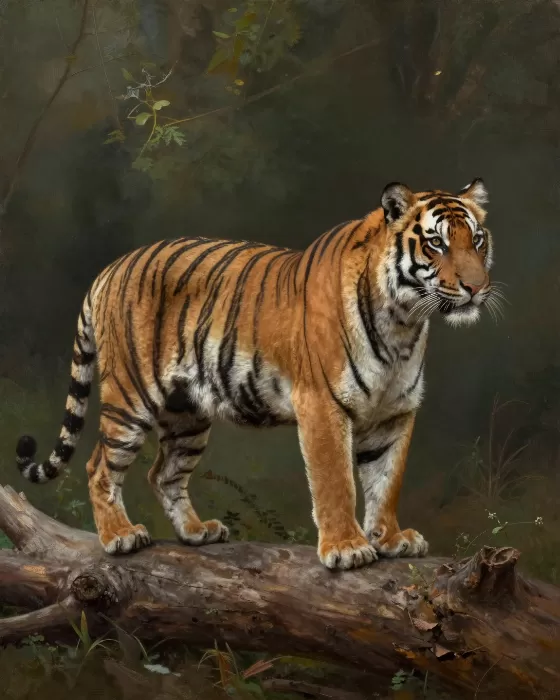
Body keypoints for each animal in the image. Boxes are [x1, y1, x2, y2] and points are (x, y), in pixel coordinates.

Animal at [16, 179, 495, 570]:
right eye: (436, 244)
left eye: (477, 240)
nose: (476, 287)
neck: (404, 323)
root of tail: (109, 269)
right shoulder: (322, 405)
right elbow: (336, 482)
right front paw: (346, 548)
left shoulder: (394, 413)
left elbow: (386, 481)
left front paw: (391, 539)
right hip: (130, 398)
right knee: (99, 466)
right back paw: (120, 536)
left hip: (187, 415)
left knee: (163, 473)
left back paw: (196, 532)